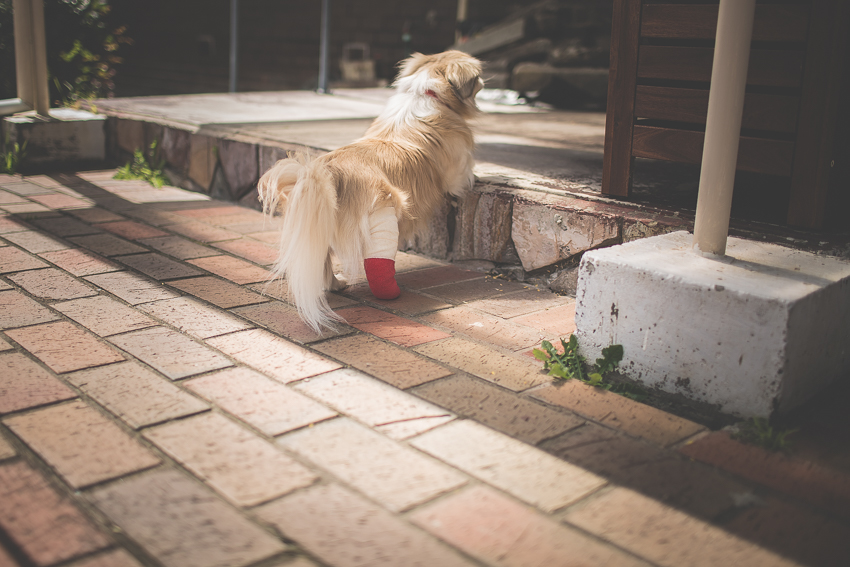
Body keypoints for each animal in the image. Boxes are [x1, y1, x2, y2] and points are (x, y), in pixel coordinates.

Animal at [255, 51, 480, 336]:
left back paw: (337, 284)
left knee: (322, 263)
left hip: (317, 226)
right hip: (383, 214)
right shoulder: (457, 170)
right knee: (377, 262)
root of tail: (328, 172)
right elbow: (464, 177)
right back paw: (390, 293)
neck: (426, 93)